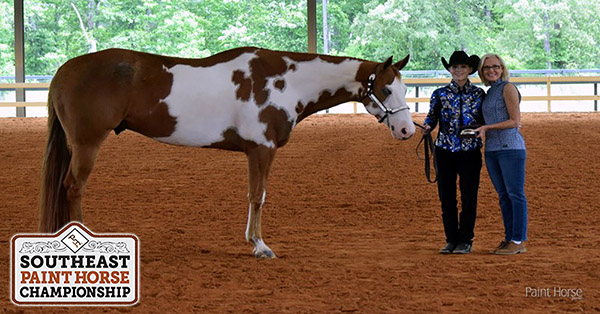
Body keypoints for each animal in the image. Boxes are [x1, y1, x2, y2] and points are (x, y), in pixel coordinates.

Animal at [39, 46, 414, 258]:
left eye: (405, 88)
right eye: (385, 89)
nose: (407, 131)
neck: (286, 82)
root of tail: (64, 70)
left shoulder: (255, 151)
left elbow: (255, 195)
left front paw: (253, 240)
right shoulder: (262, 150)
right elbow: (258, 195)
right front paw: (260, 246)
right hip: (87, 143)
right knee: (73, 187)